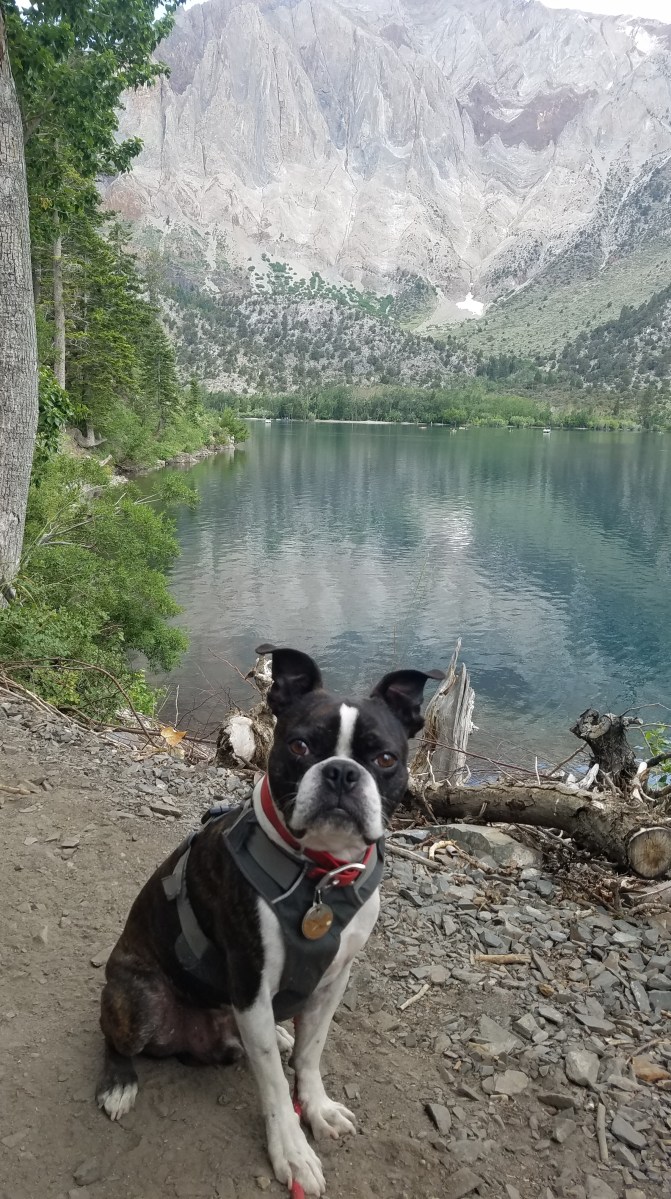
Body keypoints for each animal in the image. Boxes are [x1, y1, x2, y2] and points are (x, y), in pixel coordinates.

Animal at [96, 645, 442, 1196]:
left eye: (386, 758)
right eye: (300, 746)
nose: (341, 772)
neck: (320, 876)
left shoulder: (332, 981)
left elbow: (310, 1055)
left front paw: (318, 1109)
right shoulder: (251, 984)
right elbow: (277, 1084)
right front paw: (293, 1152)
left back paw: (281, 1034)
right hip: (139, 1000)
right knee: (112, 1034)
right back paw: (118, 1084)